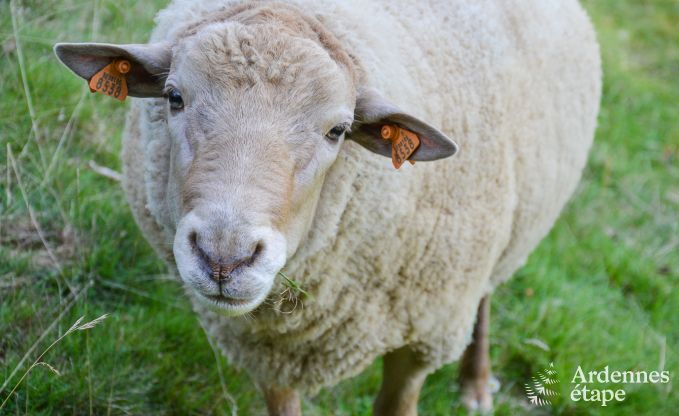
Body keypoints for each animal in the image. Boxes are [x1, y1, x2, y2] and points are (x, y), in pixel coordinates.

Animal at [55, 0, 604, 412]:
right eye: (173, 97)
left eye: (338, 130)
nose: (224, 258)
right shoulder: (267, 348)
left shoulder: (421, 337)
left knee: (488, 292)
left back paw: (475, 383)